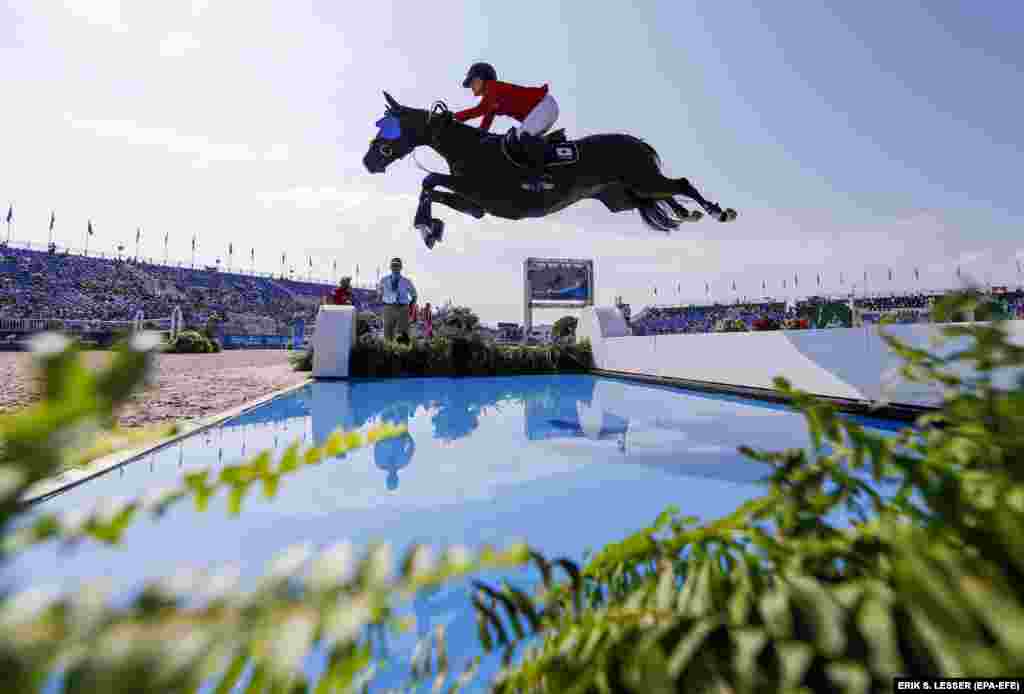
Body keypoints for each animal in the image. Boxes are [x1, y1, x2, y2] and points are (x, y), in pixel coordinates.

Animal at [360, 91, 737, 249]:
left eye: (388, 128)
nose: (369, 161)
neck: (469, 149)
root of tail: (637, 142)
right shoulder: (477, 205)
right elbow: (433, 189)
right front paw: (430, 228)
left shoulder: (483, 193)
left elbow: (430, 179)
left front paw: (426, 227)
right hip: (625, 196)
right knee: (665, 192)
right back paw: (686, 214)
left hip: (641, 179)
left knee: (681, 183)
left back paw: (717, 212)